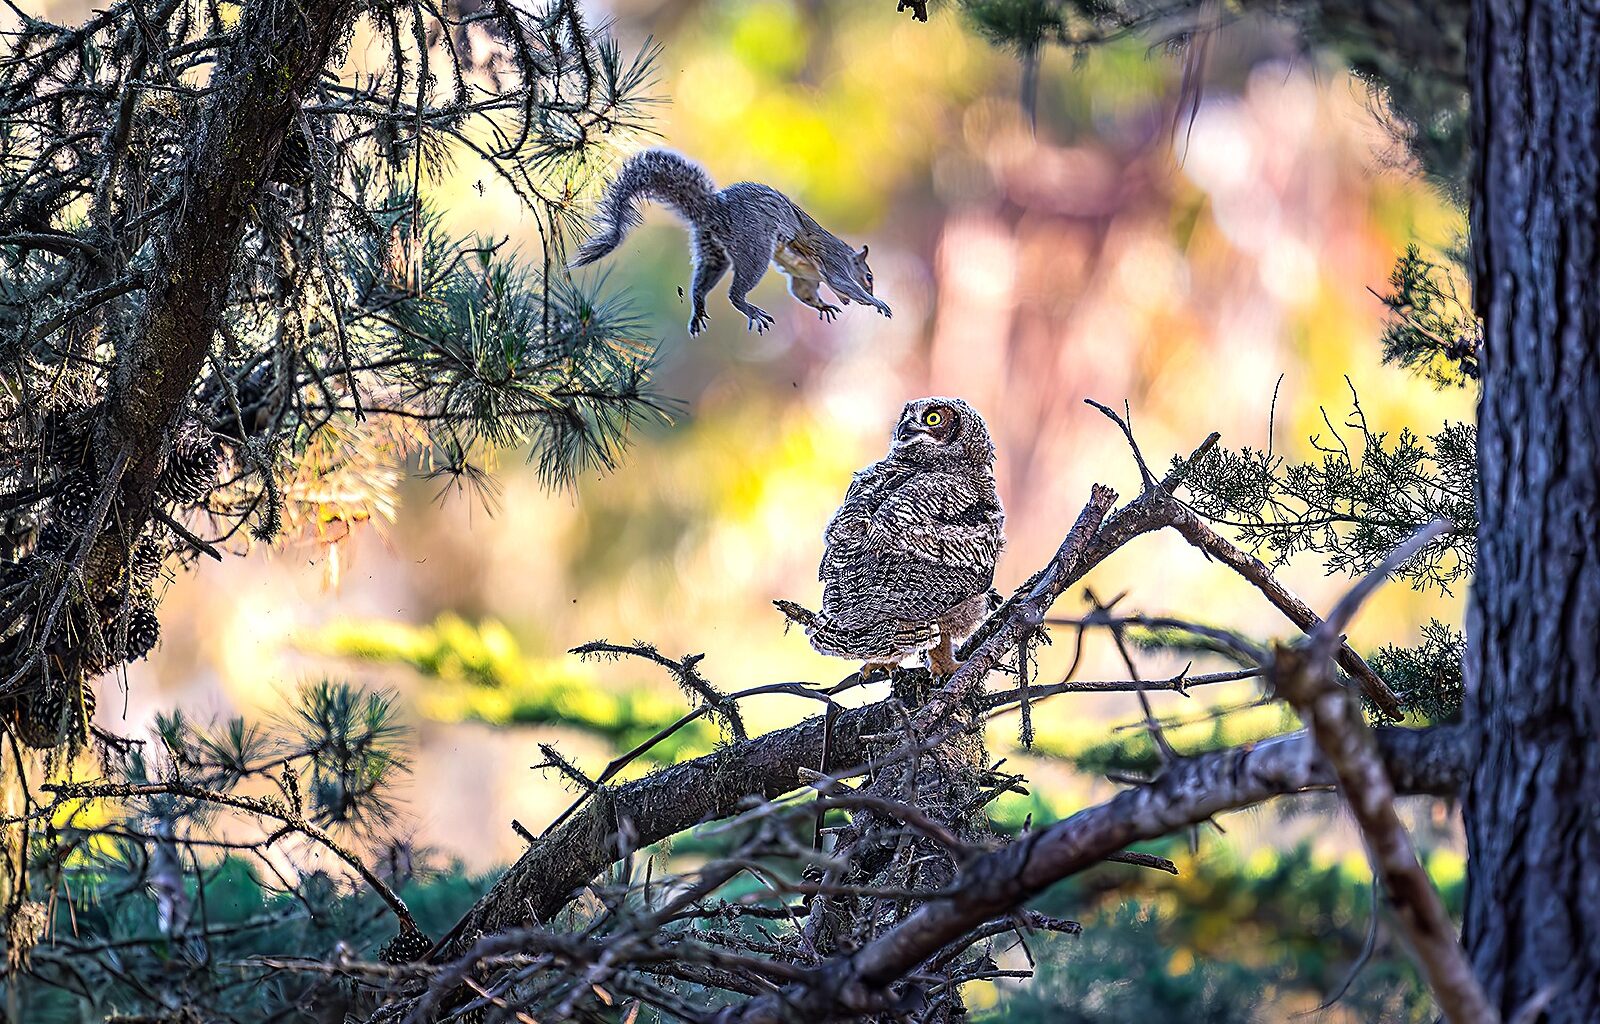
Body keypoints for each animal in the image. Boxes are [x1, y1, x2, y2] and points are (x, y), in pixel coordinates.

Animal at [568, 149, 892, 335]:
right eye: (869, 276)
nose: (872, 289)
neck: (846, 255)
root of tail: (714, 210)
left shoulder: (805, 277)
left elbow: (804, 293)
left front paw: (823, 306)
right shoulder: (834, 263)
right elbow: (841, 283)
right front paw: (877, 302)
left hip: (712, 251)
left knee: (702, 282)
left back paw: (698, 308)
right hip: (755, 250)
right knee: (735, 292)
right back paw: (749, 309)